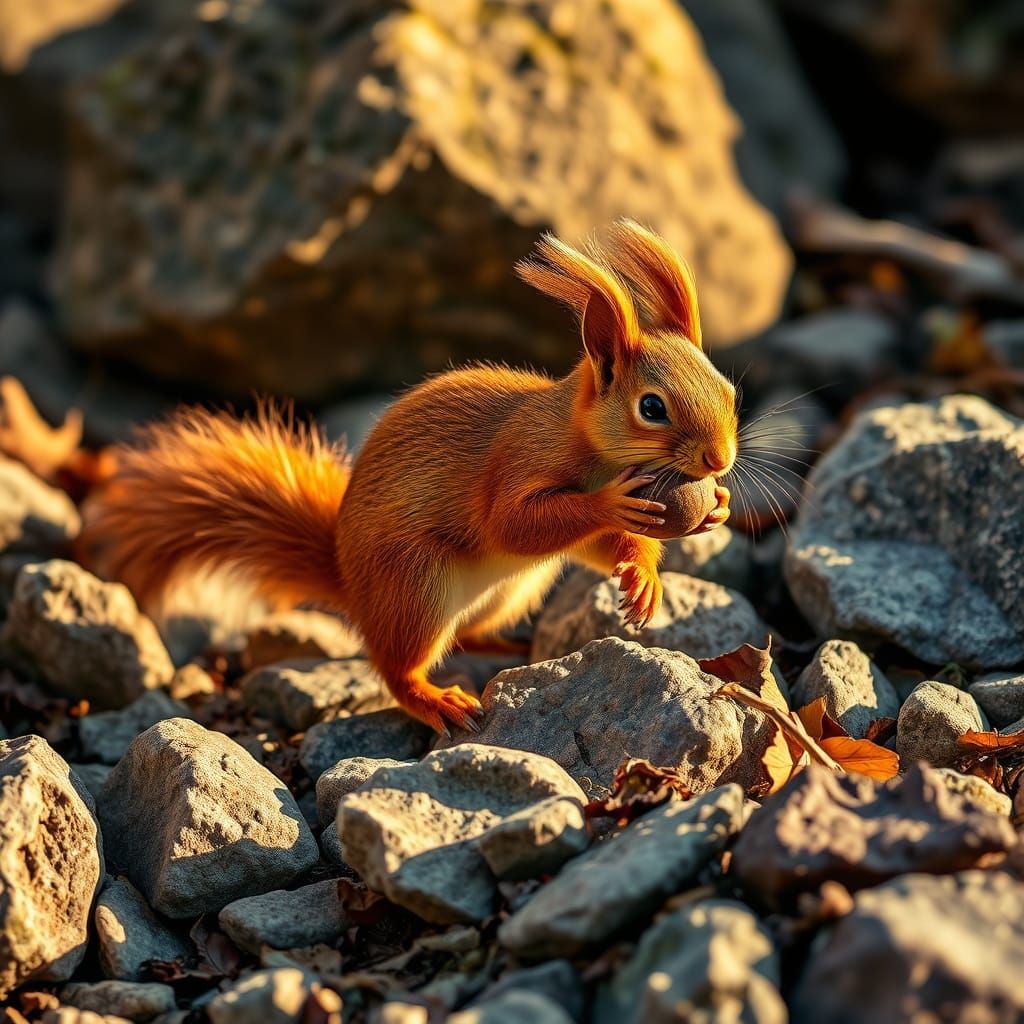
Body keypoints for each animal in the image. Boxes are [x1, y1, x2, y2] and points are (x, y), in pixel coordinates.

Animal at [81, 220, 738, 734]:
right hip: (415, 584)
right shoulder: (516, 462)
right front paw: (612, 508)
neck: (584, 442)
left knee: (467, 635)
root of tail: (352, 586)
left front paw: (667, 554)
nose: (720, 460)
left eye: (729, 390)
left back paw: (507, 645)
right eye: (652, 407)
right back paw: (435, 699)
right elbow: (514, 524)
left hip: (513, 589)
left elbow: (597, 549)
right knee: (397, 668)